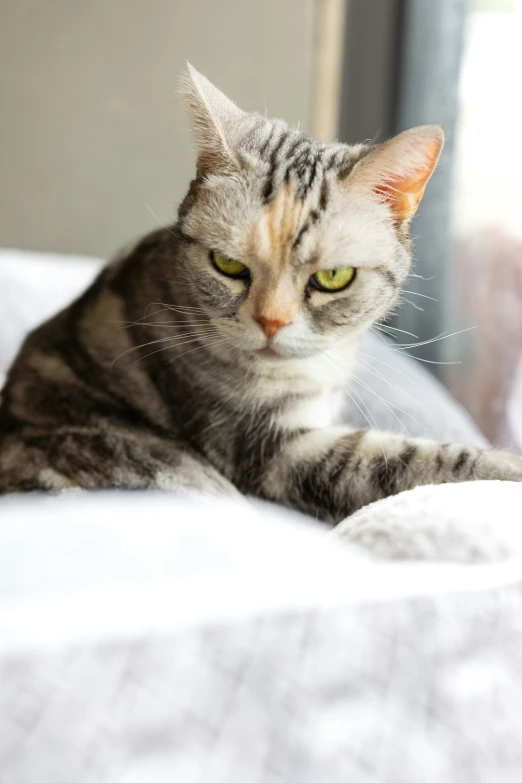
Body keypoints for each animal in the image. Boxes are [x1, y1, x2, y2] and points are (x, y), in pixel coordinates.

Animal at [1, 66, 520, 520]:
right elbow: (413, 460)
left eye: (333, 277)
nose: (271, 322)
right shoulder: (273, 450)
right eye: (228, 265)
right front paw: (506, 465)